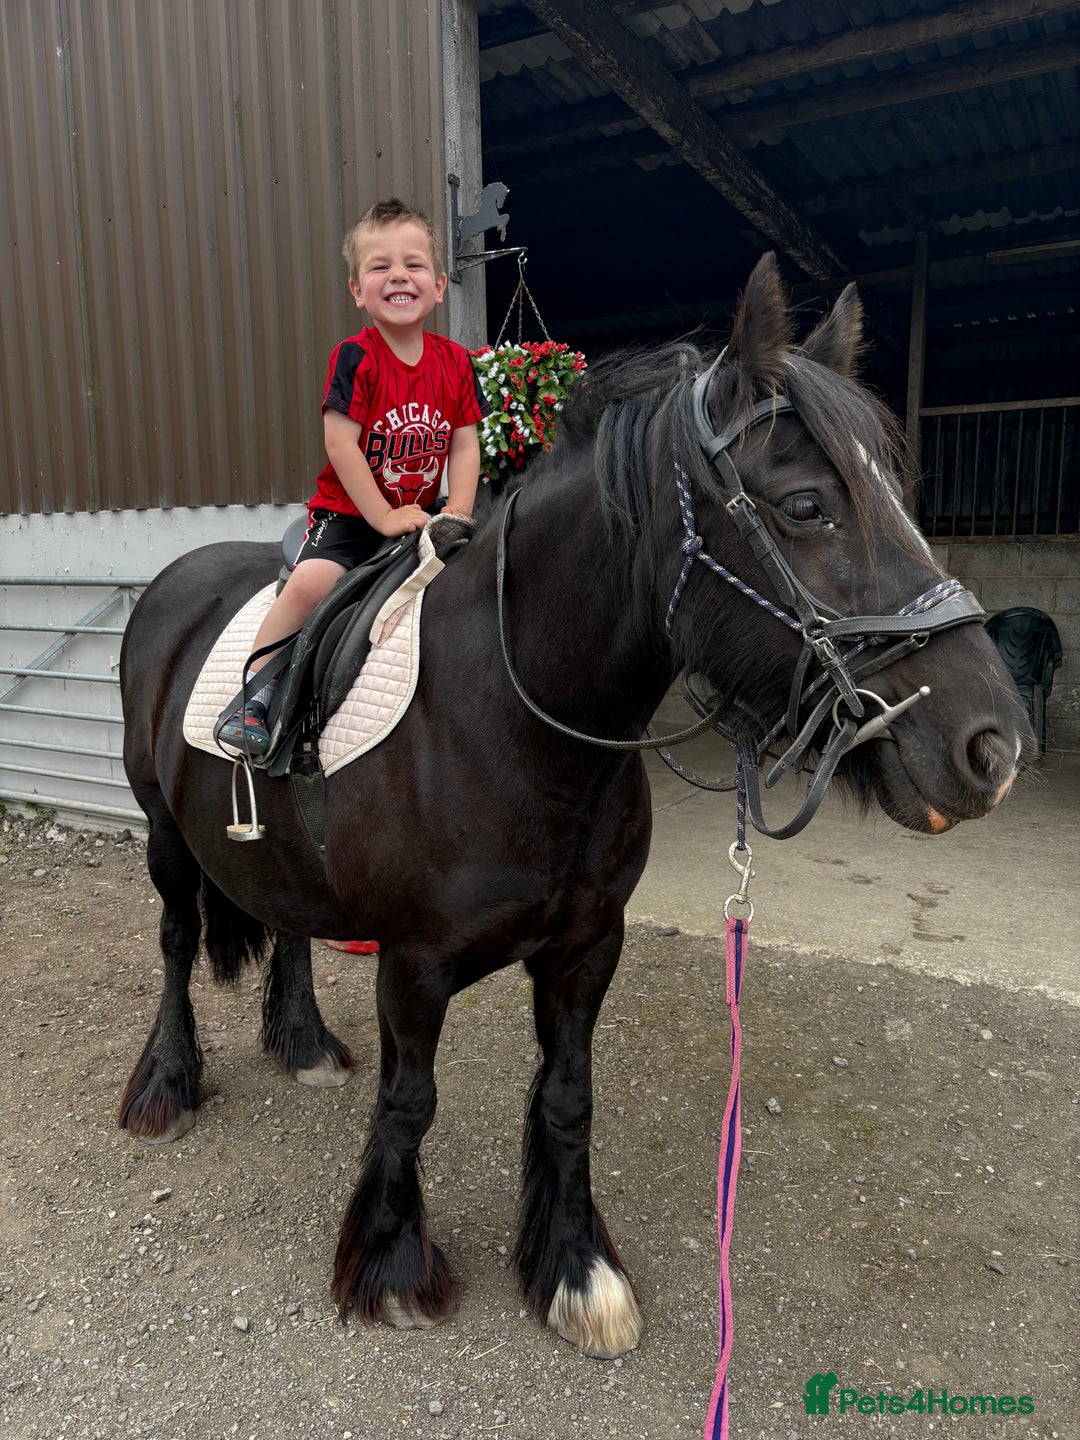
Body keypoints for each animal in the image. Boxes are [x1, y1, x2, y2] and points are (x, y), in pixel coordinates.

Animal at [117, 254, 1030, 1360]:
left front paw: (574, 1266)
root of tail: (179, 580)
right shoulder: (413, 965)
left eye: (897, 491)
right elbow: (410, 1103)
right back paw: (165, 1085)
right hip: (164, 834)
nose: (993, 745)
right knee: (174, 943)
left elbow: (566, 1099)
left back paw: (301, 1042)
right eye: (809, 504)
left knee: (288, 921)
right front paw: (392, 1263)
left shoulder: (589, 946)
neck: (513, 721)